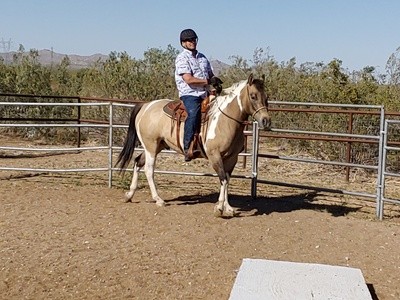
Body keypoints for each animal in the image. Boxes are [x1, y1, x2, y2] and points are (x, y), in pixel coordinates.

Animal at [116, 73, 272, 217]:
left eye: (266, 97)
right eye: (253, 96)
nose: (266, 121)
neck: (225, 119)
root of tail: (145, 106)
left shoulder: (232, 158)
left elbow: (227, 180)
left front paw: (228, 208)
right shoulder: (214, 155)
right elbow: (222, 179)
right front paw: (219, 208)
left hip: (156, 146)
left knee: (138, 162)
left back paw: (129, 195)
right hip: (151, 147)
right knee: (149, 170)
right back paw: (159, 199)